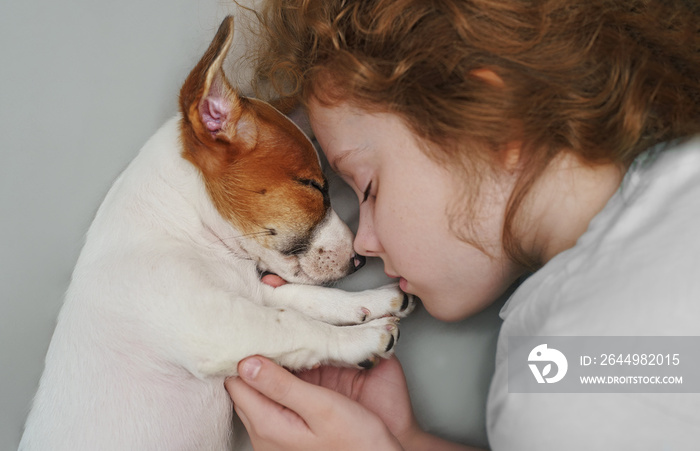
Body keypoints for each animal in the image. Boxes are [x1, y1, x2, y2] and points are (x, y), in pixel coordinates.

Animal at [20, 15, 416, 450]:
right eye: (313, 186)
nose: (361, 260)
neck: (185, 230)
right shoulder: (217, 324)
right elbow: (294, 323)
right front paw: (363, 339)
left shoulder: (252, 293)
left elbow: (307, 299)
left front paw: (371, 301)